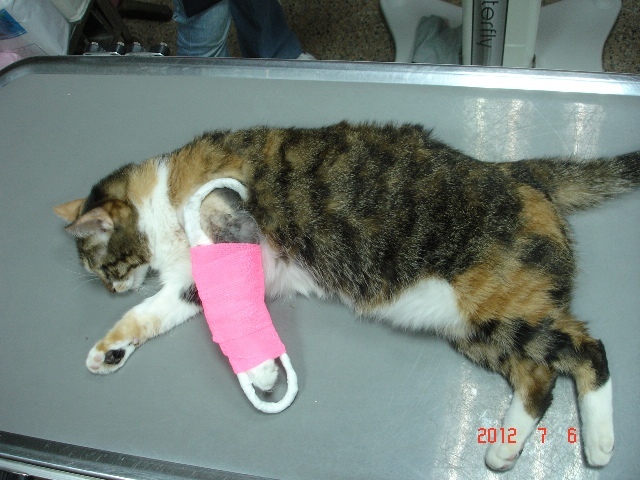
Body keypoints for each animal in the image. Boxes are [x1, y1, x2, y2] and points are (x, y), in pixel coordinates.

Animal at [54, 122, 640, 470]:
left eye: (102, 266)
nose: (109, 286)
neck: (161, 196)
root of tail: (513, 170)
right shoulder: (187, 283)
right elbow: (152, 313)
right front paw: (109, 350)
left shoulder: (226, 224)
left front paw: (261, 374)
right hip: (473, 326)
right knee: (538, 377)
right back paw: (504, 450)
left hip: (500, 306)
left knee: (588, 351)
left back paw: (599, 443)